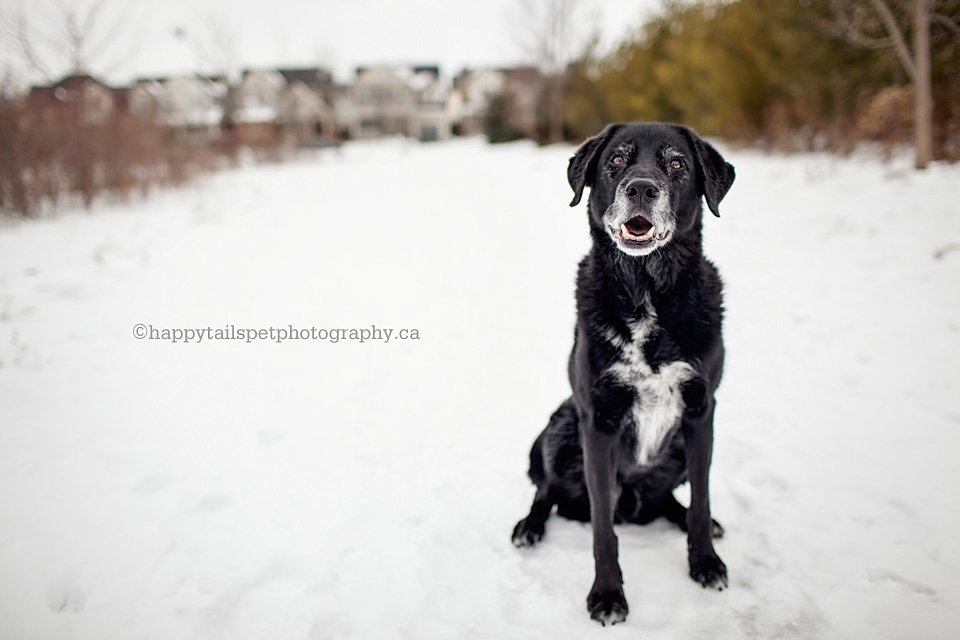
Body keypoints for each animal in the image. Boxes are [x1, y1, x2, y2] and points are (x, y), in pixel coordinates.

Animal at [510, 121, 736, 624]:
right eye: (616, 160)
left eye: (677, 163)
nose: (642, 188)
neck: (646, 290)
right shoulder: (598, 418)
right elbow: (601, 528)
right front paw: (607, 595)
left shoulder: (701, 410)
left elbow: (703, 497)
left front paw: (705, 562)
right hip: (560, 425)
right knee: (546, 490)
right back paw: (529, 527)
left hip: (675, 450)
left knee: (673, 500)